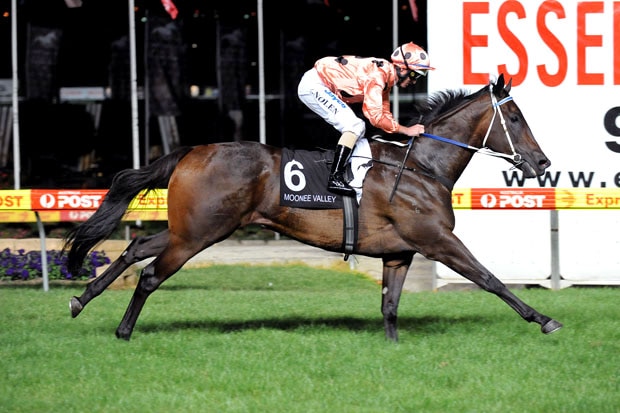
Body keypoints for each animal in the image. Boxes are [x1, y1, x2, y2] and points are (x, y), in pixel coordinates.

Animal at [64, 75, 560, 342]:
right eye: (515, 118)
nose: (542, 163)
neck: (422, 167)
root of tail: (190, 151)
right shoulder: (437, 240)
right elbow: (489, 278)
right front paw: (544, 319)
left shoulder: (399, 253)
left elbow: (390, 307)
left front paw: (394, 347)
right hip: (199, 234)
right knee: (149, 275)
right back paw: (123, 330)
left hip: (191, 228)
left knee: (136, 248)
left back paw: (81, 298)